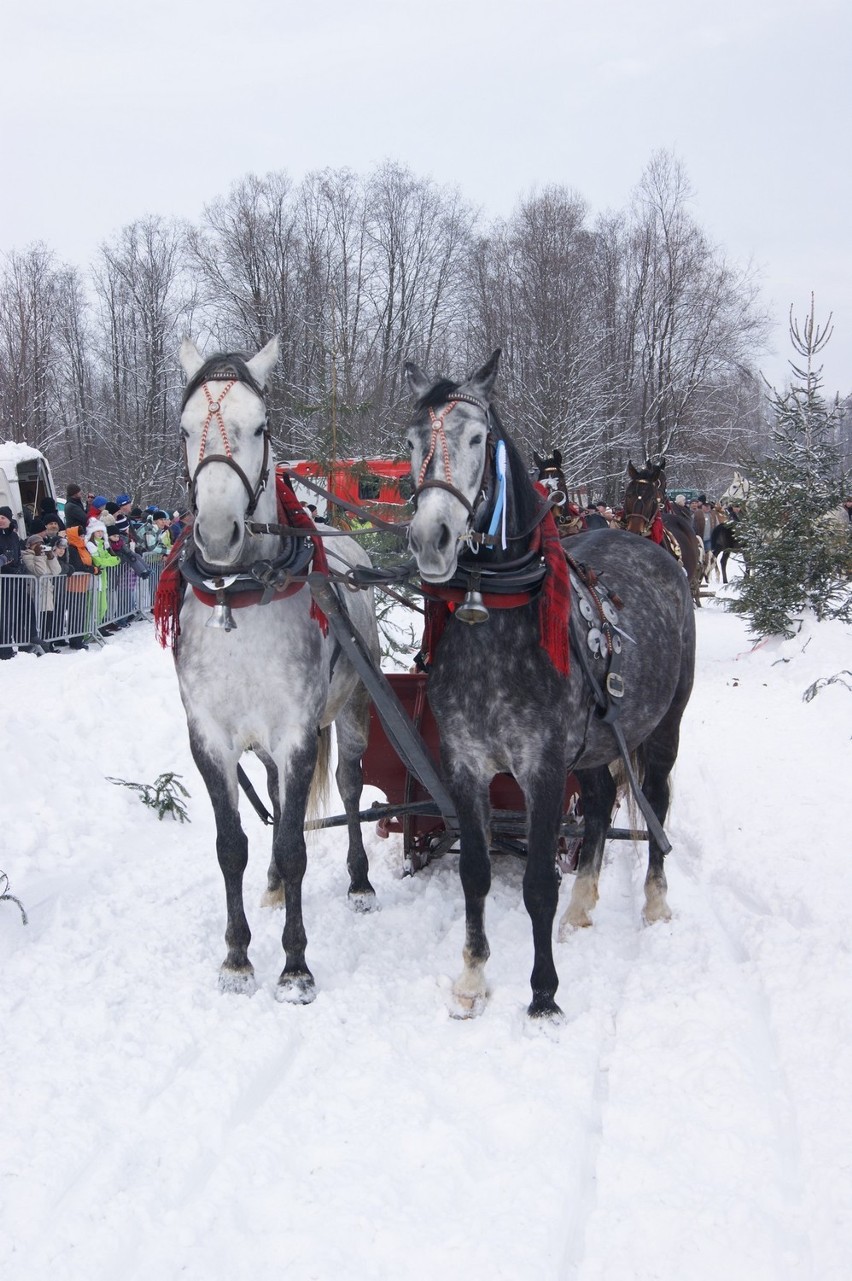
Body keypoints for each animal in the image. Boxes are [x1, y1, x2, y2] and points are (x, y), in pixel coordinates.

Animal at [404, 350, 691, 1019]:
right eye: (411, 441)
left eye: (477, 438)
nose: (431, 539)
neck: (495, 622)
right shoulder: (465, 764)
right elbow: (476, 874)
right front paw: (472, 980)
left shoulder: (541, 768)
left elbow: (537, 882)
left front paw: (543, 994)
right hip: (594, 745)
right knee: (596, 808)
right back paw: (582, 908)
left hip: (663, 727)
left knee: (654, 799)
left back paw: (655, 900)